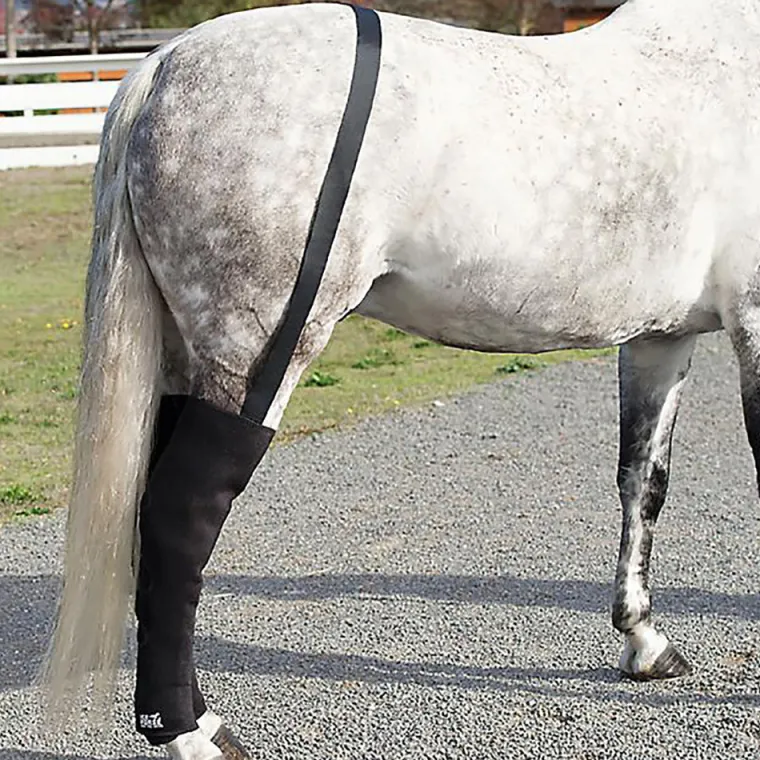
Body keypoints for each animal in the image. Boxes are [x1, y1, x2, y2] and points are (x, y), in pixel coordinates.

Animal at [41, 0, 760, 757]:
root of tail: (161, 66)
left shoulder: (659, 340)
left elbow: (642, 485)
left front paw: (644, 642)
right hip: (258, 352)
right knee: (180, 519)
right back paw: (190, 734)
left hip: (187, 359)